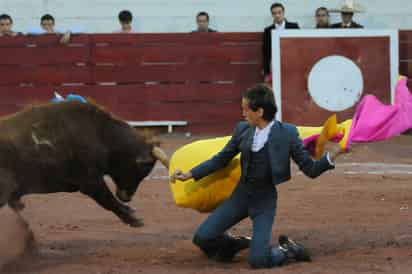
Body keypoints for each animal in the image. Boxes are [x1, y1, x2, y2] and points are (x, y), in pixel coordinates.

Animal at [0, 100, 169, 227]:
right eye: (142, 168)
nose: (127, 197)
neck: (103, 135)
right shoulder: (90, 182)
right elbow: (108, 201)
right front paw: (133, 219)